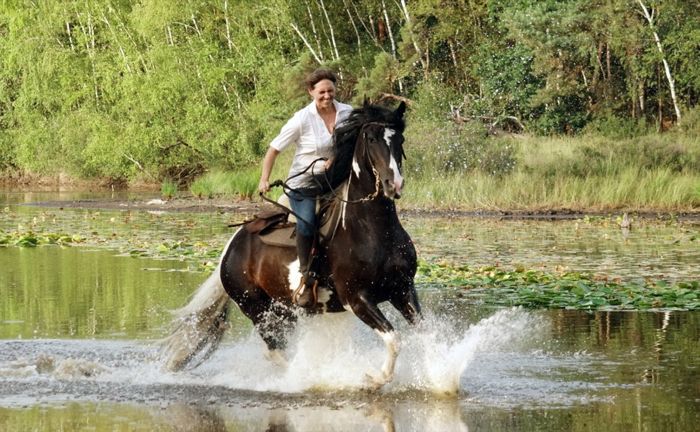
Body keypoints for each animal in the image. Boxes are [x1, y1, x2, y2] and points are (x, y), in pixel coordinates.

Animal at [161, 102, 418, 392]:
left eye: (399, 140)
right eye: (372, 139)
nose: (393, 184)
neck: (371, 230)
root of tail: (230, 249)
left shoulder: (403, 289)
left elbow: (423, 334)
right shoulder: (357, 298)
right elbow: (394, 340)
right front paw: (374, 379)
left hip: (286, 310)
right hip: (258, 310)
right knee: (275, 351)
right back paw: (305, 377)